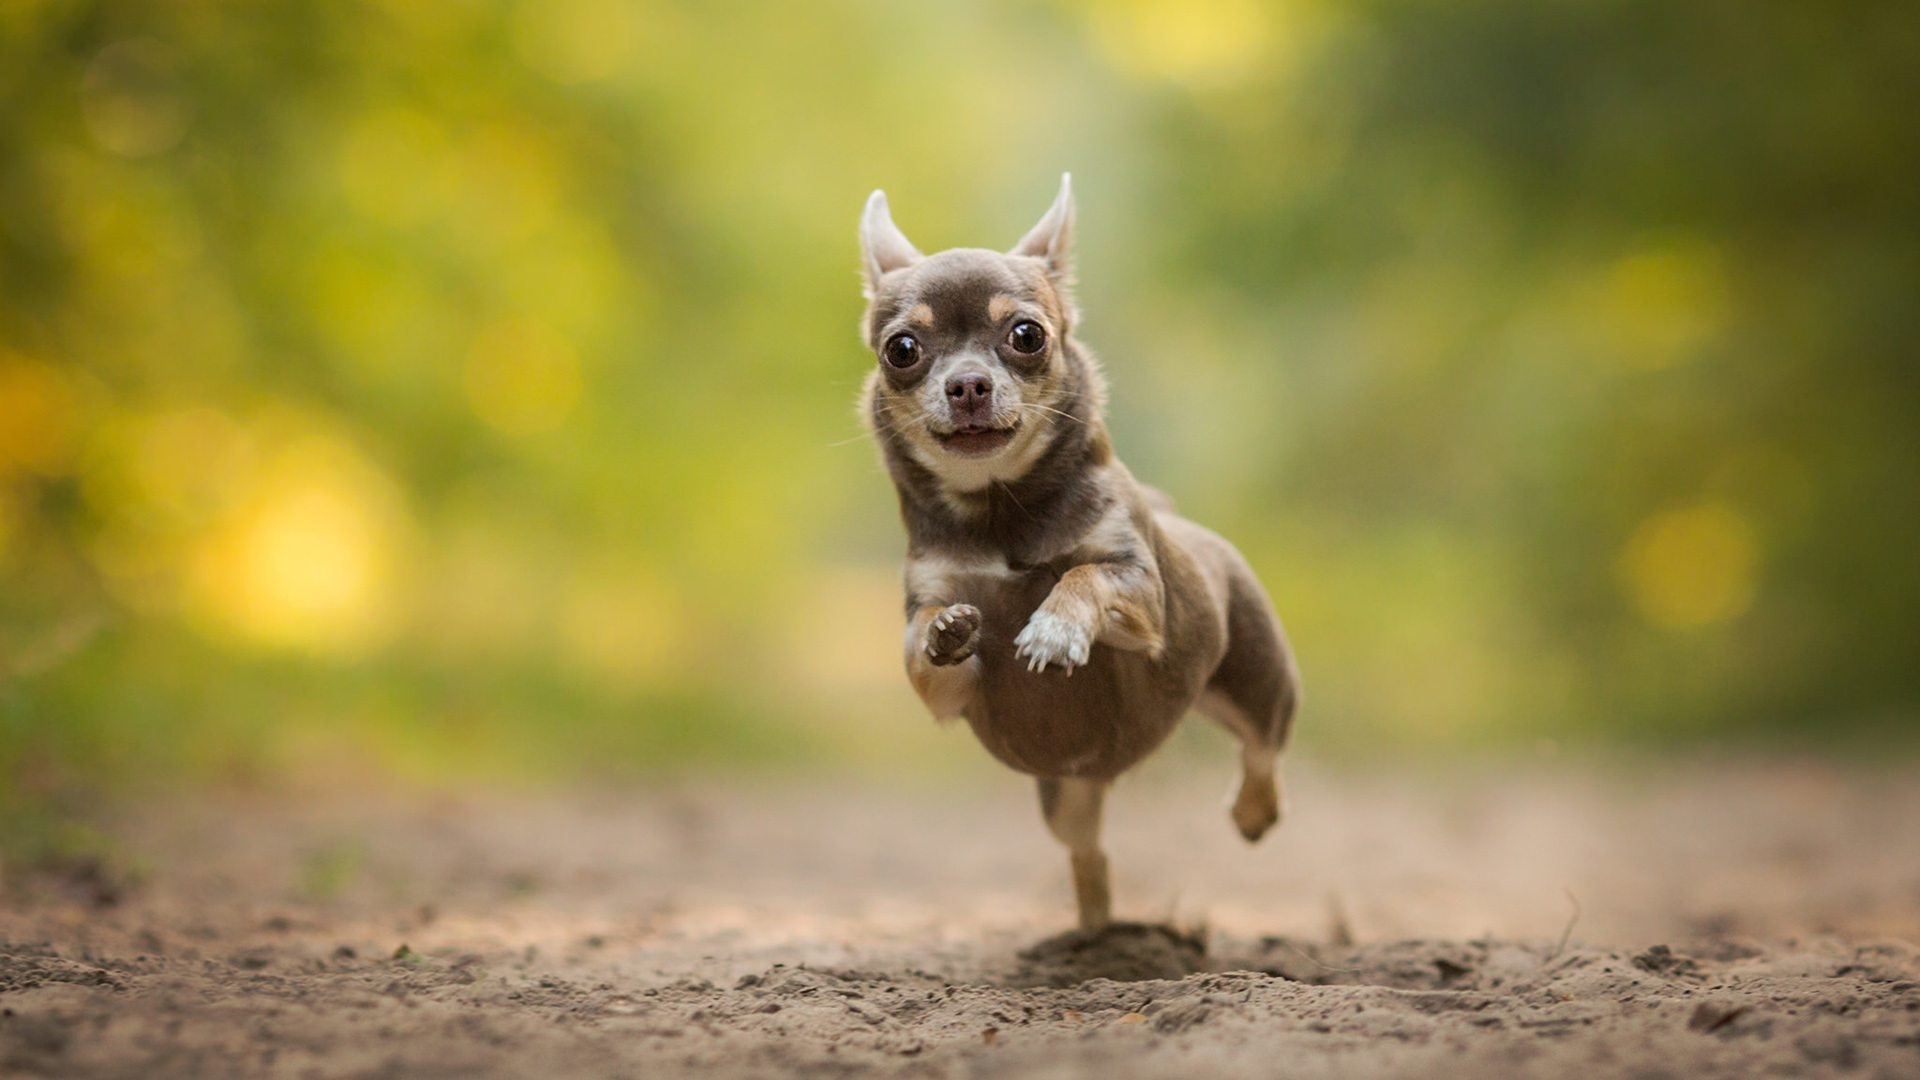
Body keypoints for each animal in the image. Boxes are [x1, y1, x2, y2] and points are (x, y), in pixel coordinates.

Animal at [860, 174, 1297, 926]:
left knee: (1262, 750)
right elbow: (926, 644)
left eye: (1026, 335)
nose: (967, 384)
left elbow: (1085, 574)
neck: (1002, 509)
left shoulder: (1140, 594)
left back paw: (1251, 813)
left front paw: (1055, 629)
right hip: (1066, 791)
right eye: (902, 349)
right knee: (1088, 853)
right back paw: (1093, 929)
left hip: (1257, 677)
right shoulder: (943, 687)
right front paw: (947, 632)